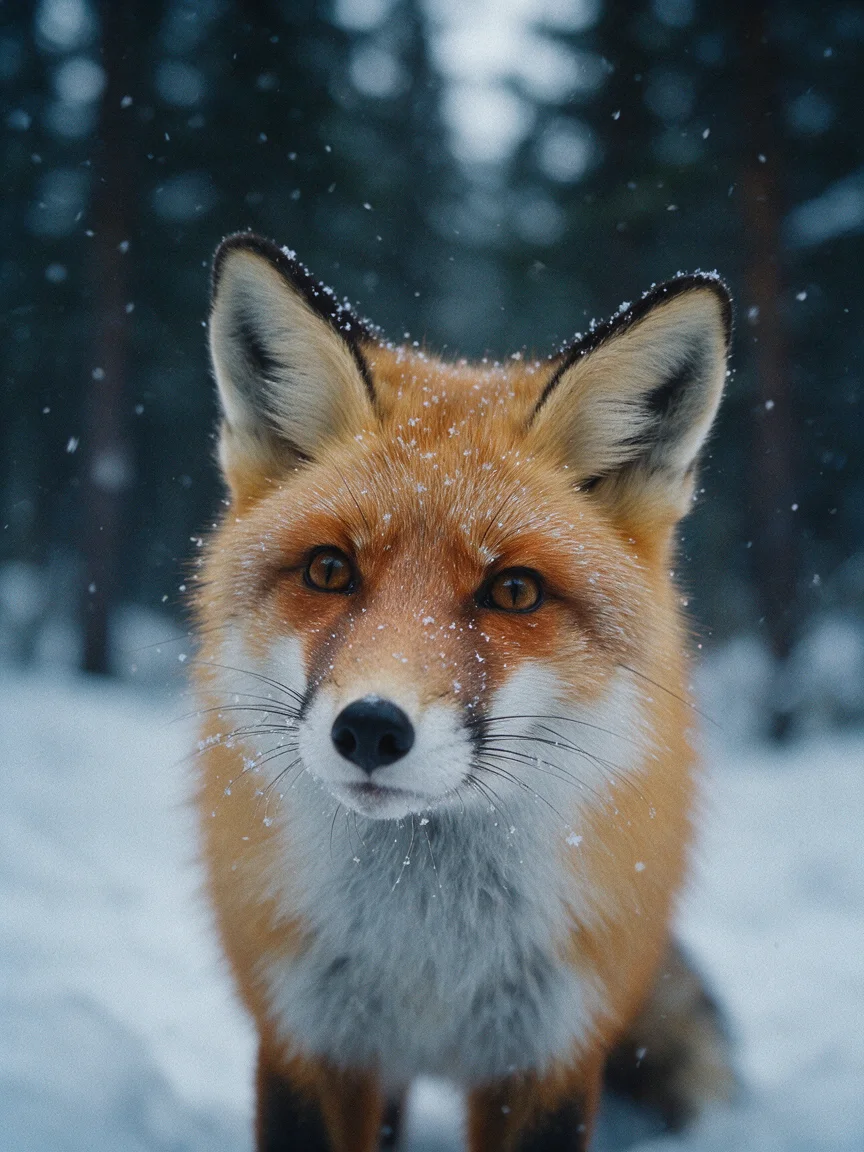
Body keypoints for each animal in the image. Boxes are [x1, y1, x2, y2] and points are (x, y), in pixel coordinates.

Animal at [191, 232, 735, 1151]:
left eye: (513, 591)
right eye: (329, 571)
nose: (371, 729)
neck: (430, 952)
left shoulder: (548, 1052)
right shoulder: (307, 1038)